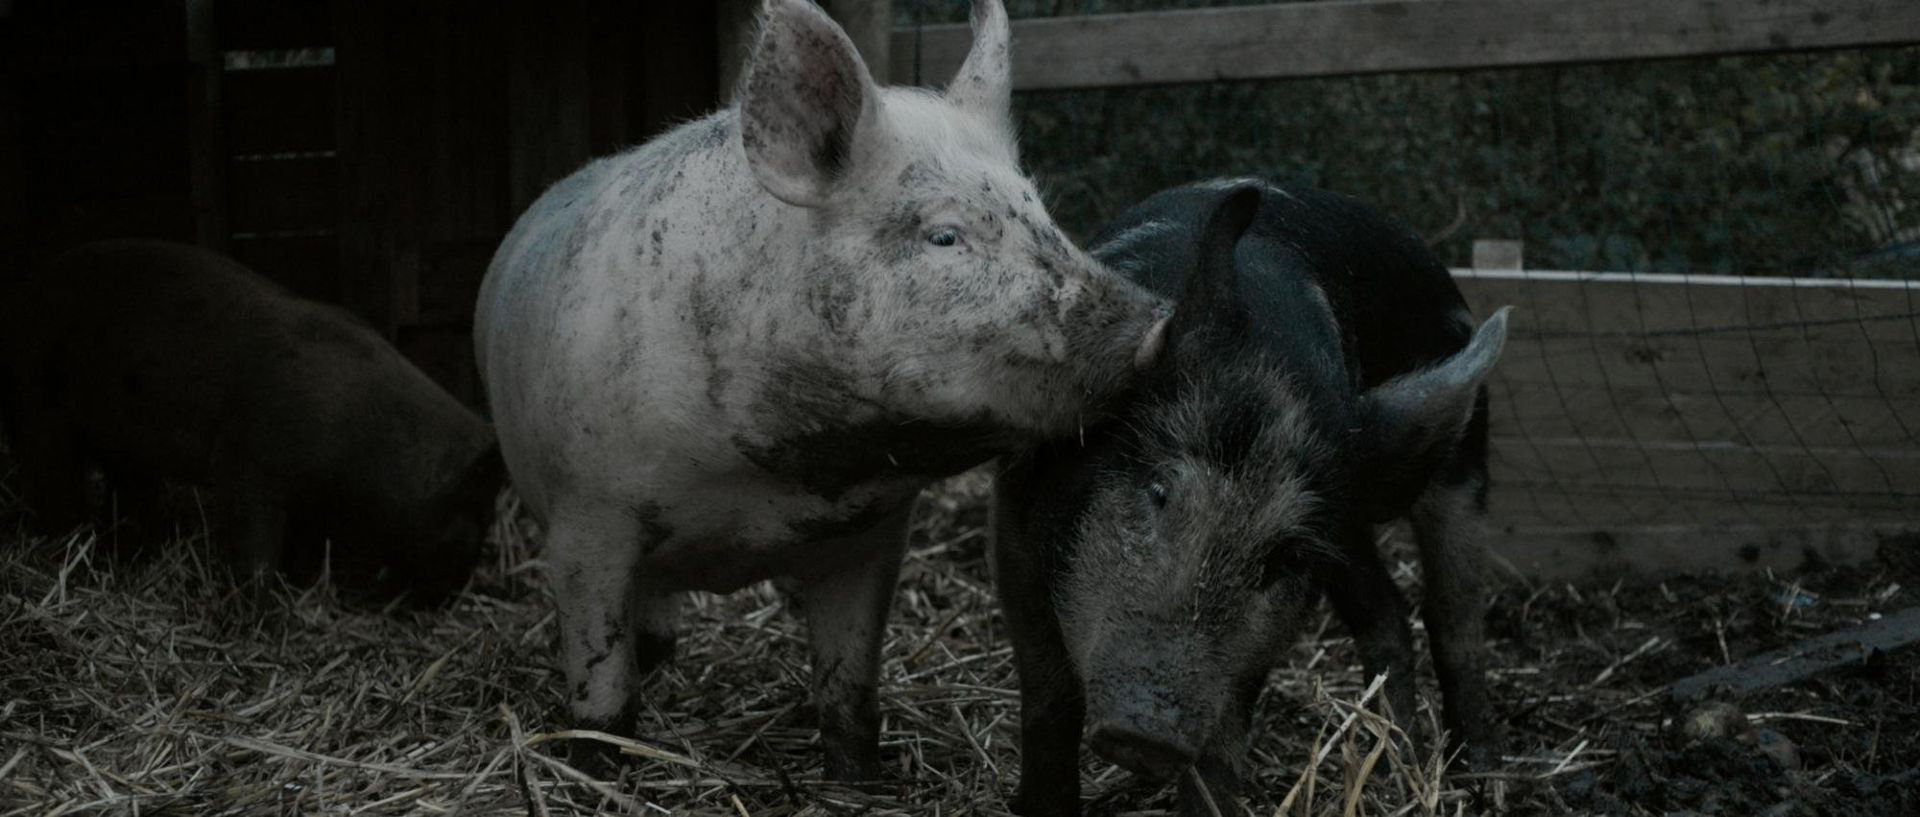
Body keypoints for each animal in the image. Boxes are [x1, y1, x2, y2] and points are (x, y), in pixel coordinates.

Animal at [0, 239, 501, 603]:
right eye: (476, 510)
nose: (463, 584)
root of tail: (21, 299)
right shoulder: (251, 462)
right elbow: (253, 542)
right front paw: (256, 604)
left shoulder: (309, 496)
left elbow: (302, 543)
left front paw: (298, 584)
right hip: (38, 404)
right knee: (51, 479)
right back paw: (65, 545)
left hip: (125, 438)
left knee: (129, 490)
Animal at [472, 0, 1167, 780]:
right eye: (944, 235)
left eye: (1041, 212)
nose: (1155, 321)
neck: (761, 487)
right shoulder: (586, 517)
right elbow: (600, 683)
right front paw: (599, 762)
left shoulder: (872, 535)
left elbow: (849, 684)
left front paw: (858, 777)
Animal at [991, 181, 1509, 815]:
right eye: (1160, 490)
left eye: (1282, 557)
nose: (1148, 735)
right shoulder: (1012, 524)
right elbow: (1049, 695)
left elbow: (1226, 729)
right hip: (1352, 529)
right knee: (1387, 609)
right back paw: (1392, 763)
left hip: (1462, 463)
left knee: (1453, 615)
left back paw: (1478, 776)